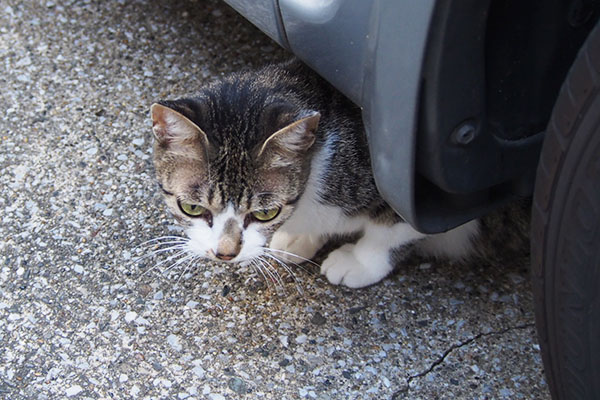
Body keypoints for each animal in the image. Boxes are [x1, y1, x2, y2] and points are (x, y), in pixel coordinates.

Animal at [150, 59, 528, 288]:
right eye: (192, 208)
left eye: (265, 212)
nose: (225, 253)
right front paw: (299, 239)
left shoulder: (427, 194)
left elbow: (392, 230)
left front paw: (360, 262)